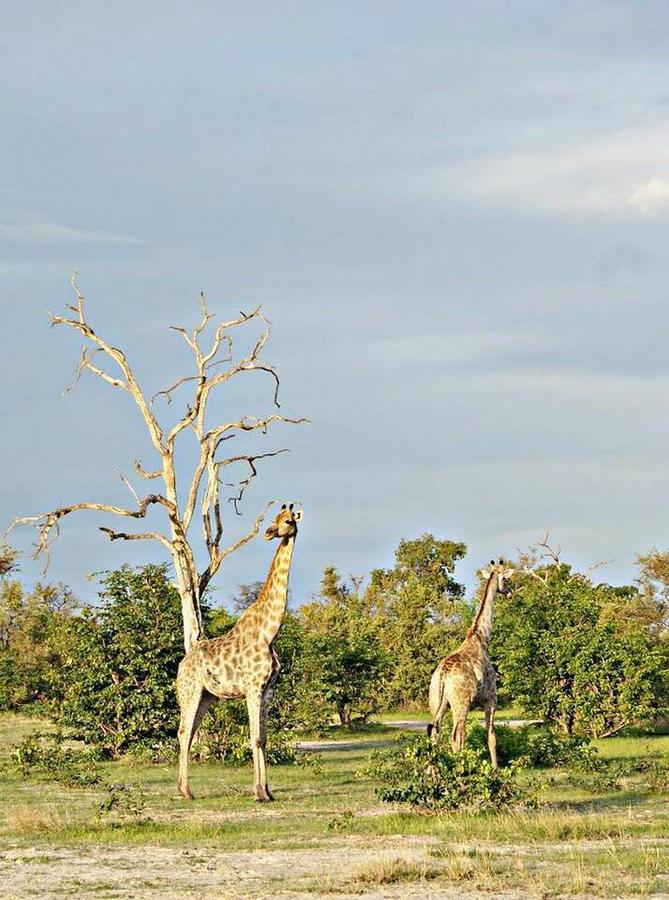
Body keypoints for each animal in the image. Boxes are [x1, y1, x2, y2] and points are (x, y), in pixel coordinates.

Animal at [176, 500, 304, 800]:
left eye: (288, 521)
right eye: (274, 518)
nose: (268, 532)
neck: (269, 632)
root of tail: (182, 664)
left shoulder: (268, 689)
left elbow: (263, 738)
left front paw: (268, 792)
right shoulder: (253, 687)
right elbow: (254, 738)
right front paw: (258, 793)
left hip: (207, 696)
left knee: (189, 732)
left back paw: (183, 789)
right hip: (190, 691)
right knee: (184, 732)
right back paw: (186, 791)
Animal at [426, 556, 516, 768]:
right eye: (506, 579)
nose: (510, 593)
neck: (481, 637)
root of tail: (443, 674)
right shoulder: (491, 698)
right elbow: (491, 736)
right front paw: (495, 769)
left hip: (437, 701)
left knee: (434, 732)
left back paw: (434, 772)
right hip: (461, 703)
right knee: (456, 736)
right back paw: (460, 770)